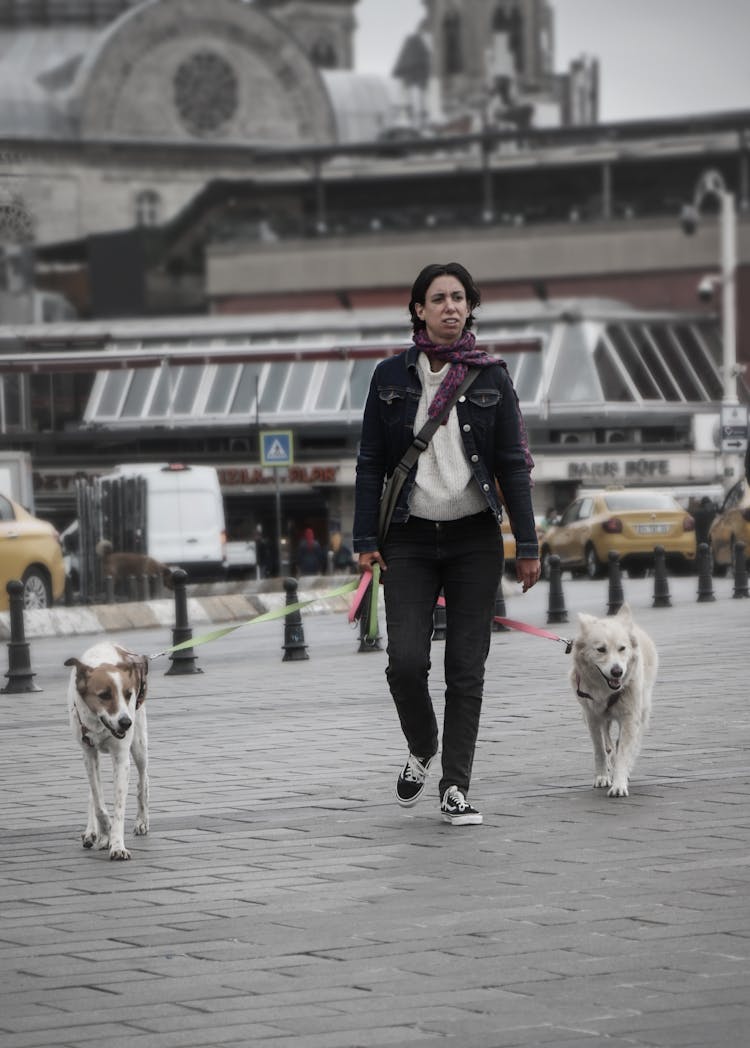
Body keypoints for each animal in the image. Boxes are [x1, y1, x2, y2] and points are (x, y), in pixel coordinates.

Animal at [65, 637, 150, 859]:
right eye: (104, 695)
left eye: (128, 694)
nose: (125, 722)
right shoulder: (88, 753)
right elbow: (98, 803)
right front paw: (104, 833)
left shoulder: (121, 757)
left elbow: (119, 805)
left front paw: (117, 845)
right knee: (92, 793)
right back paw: (93, 832)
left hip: (139, 745)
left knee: (143, 781)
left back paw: (142, 821)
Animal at [569, 603, 657, 796]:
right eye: (601, 649)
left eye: (622, 648)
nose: (617, 672)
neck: (607, 691)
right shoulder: (592, 716)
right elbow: (599, 749)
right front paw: (602, 776)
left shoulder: (630, 716)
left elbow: (623, 751)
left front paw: (619, 783)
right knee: (607, 737)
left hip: (642, 711)